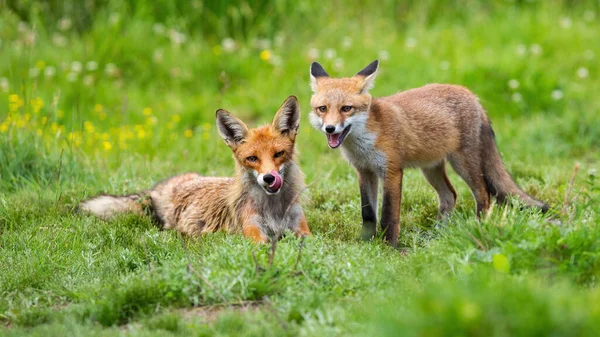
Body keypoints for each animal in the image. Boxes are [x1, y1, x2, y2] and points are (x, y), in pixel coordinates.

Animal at [79, 94, 310, 242]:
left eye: (278, 154)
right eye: (252, 158)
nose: (269, 178)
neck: (274, 210)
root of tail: (162, 187)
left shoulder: (301, 228)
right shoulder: (254, 233)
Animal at [310, 59, 548, 244]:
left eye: (346, 108)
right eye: (322, 109)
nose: (330, 128)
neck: (365, 141)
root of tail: (473, 96)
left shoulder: (392, 171)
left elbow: (389, 215)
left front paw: (388, 246)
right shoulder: (364, 171)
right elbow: (368, 213)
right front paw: (365, 243)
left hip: (463, 164)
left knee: (483, 194)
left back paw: (480, 227)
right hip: (431, 169)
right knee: (450, 196)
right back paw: (439, 234)